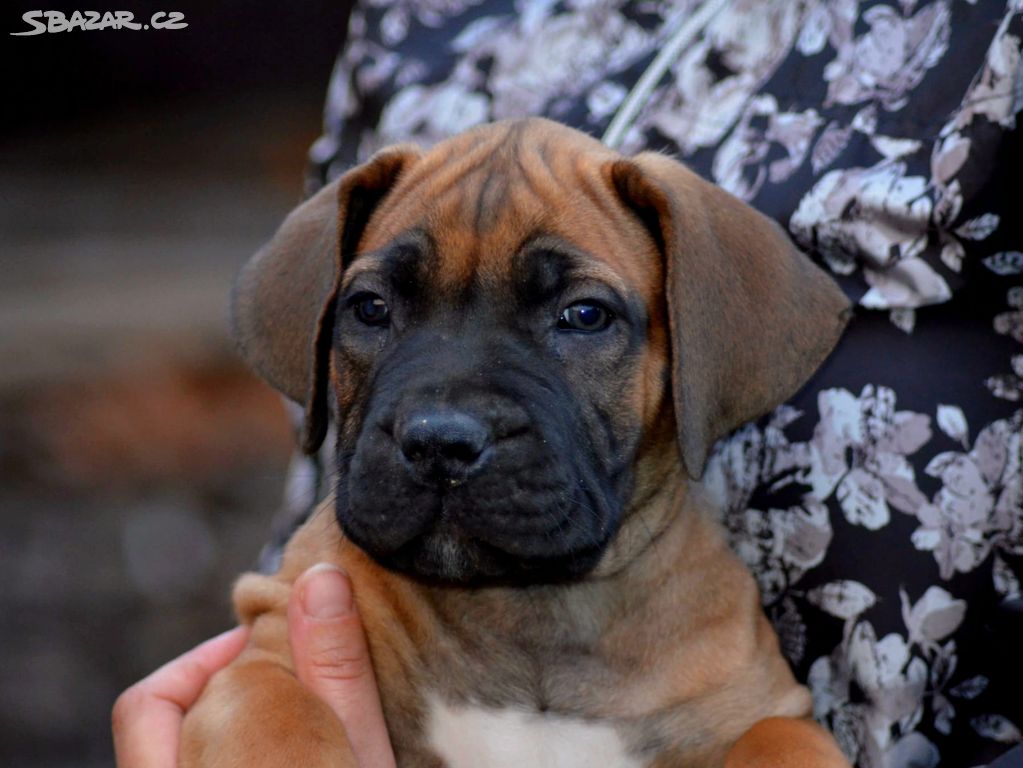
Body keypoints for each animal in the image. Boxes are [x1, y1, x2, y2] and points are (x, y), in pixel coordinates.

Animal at [180, 117, 851, 764]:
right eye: (370, 308)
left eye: (584, 316)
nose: (440, 443)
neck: (525, 605)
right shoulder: (266, 654)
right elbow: (281, 722)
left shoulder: (759, 709)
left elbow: (781, 744)